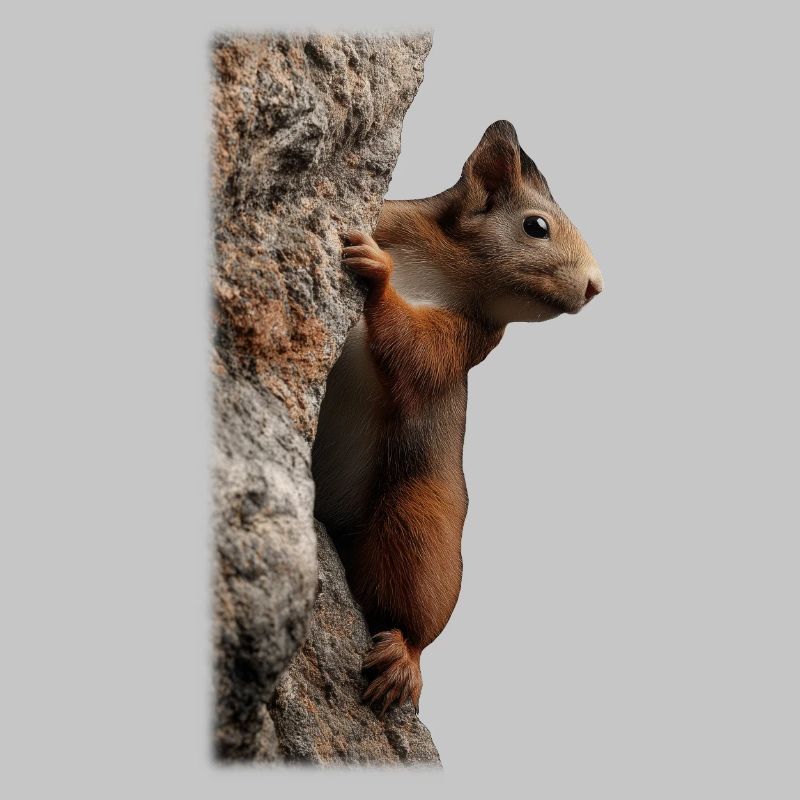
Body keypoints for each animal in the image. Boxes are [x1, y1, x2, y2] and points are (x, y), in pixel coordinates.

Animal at [312, 120, 603, 715]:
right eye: (536, 226)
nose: (596, 284)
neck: (452, 266)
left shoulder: (470, 338)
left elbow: (419, 354)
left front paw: (378, 276)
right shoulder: (397, 219)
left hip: (423, 517)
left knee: (414, 600)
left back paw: (403, 657)